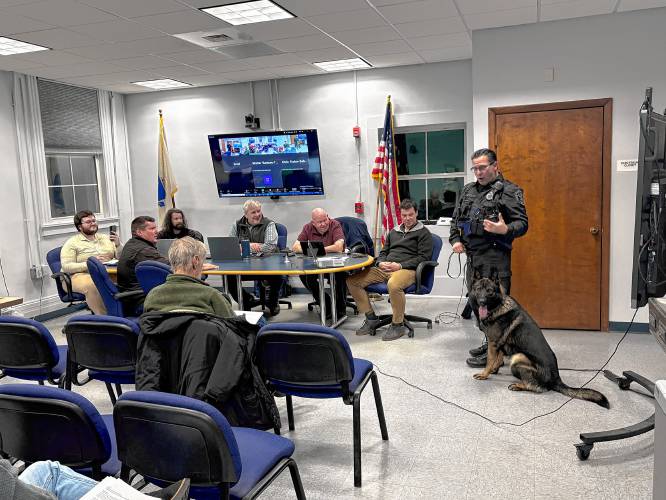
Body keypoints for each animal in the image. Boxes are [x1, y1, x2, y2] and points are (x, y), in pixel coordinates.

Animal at [466, 276, 608, 408]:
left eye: (489, 291)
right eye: (478, 289)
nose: (481, 302)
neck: (498, 305)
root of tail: (556, 379)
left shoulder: (493, 343)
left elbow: (490, 361)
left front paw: (484, 374)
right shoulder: (499, 344)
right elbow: (496, 360)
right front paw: (493, 370)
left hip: (518, 357)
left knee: (538, 388)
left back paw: (518, 385)